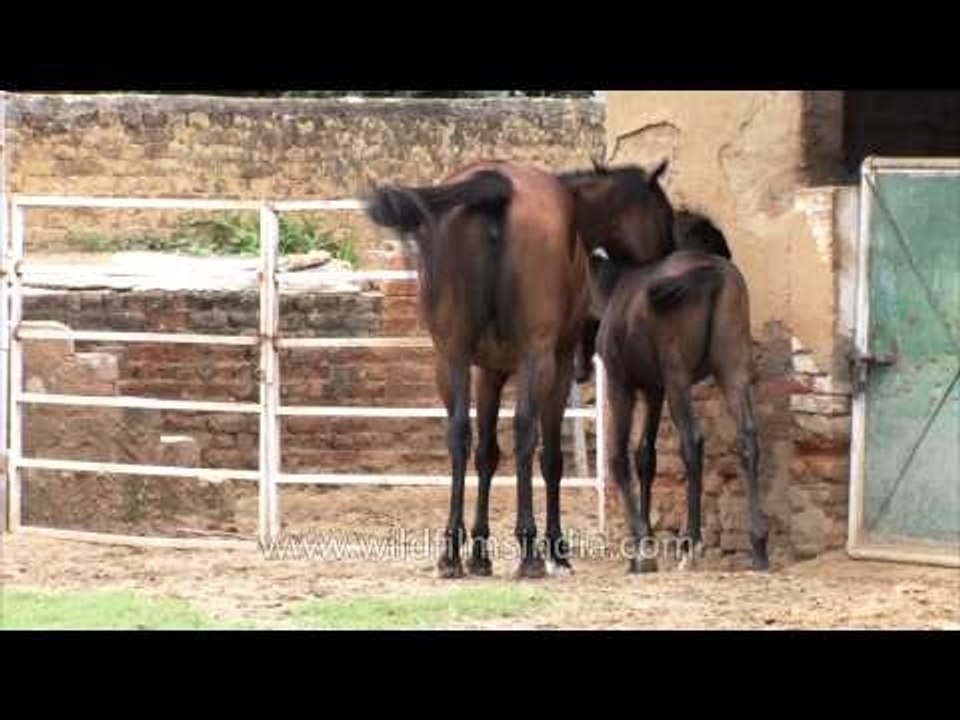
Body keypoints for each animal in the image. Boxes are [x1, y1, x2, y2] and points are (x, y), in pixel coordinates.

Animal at [365, 159, 676, 579]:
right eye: (665, 215)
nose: (670, 261)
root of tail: (494, 184)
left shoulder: (487, 372)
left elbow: (486, 454)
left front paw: (479, 552)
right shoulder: (557, 363)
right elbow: (550, 458)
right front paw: (555, 549)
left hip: (450, 357)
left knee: (459, 435)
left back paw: (451, 552)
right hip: (536, 360)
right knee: (526, 431)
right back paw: (530, 551)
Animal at [586, 238, 770, 574]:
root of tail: (711, 270)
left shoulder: (622, 384)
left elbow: (619, 457)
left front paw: (641, 551)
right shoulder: (654, 389)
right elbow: (646, 456)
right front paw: (646, 540)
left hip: (678, 379)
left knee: (692, 442)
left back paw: (691, 545)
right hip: (733, 371)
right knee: (748, 438)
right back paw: (759, 546)